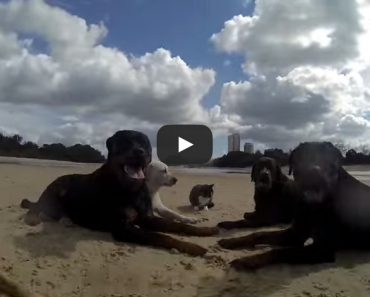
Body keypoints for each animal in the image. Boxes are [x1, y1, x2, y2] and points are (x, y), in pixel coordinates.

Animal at [21, 131, 217, 256]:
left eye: (145, 144)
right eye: (125, 142)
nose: (140, 152)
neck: (131, 189)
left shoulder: (148, 217)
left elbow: (178, 225)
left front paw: (204, 229)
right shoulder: (122, 228)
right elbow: (161, 236)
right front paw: (193, 247)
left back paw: (65, 219)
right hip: (58, 185)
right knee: (36, 206)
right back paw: (39, 217)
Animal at [218, 142, 370, 270]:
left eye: (327, 158)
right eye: (302, 156)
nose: (315, 171)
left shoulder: (322, 249)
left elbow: (282, 251)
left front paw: (248, 260)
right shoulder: (294, 233)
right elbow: (258, 234)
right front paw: (230, 241)